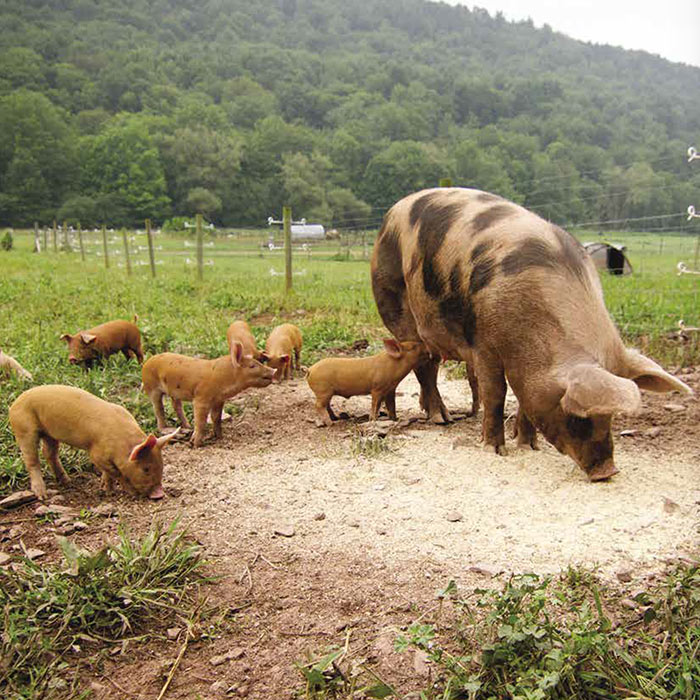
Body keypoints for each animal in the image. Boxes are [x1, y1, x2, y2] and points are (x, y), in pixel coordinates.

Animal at [370, 186, 692, 482]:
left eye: (611, 416)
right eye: (576, 414)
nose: (607, 471)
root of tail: (392, 212)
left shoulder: (528, 371)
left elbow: (524, 400)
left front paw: (528, 447)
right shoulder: (483, 344)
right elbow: (495, 393)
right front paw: (494, 450)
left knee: (432, 365)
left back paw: (436, 414)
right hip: (394, 300)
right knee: (424, 365)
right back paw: (441, 419)